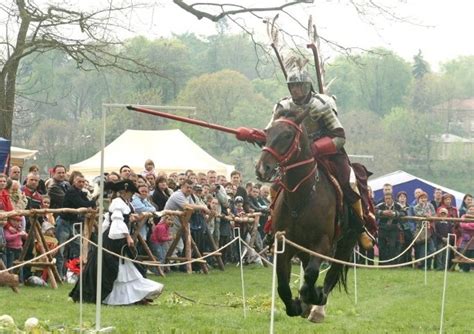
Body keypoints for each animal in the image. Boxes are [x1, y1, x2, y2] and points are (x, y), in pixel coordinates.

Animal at [258, 113, 358, 324]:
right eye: (267, 132)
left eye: (288, 135)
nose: (262, 168)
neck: (301, 197)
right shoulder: (284, 244)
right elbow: (282, 284)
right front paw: (296, 305)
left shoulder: (323, 244)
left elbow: (312, 274)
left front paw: (312, 297)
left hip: (345, 244)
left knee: (332, 272)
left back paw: (318, 308)